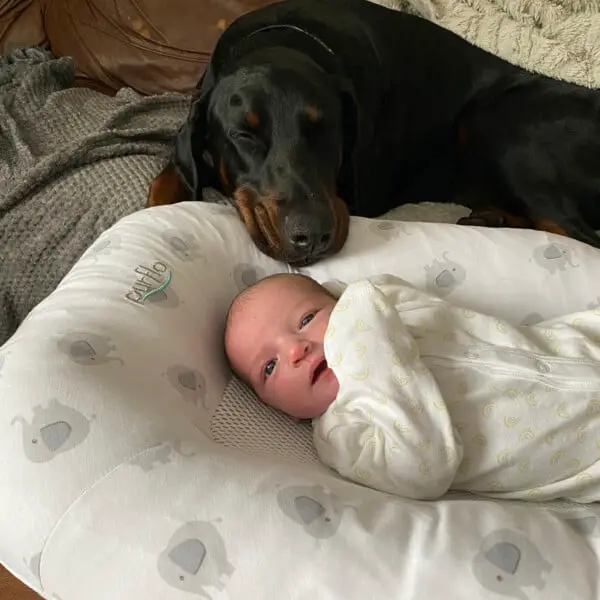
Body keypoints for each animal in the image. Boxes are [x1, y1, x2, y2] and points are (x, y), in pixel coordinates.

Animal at [148, 0, 600, 264]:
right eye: (244, 135)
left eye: (325, 128)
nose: (311, 236)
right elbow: (164, 183)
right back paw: (492, 217)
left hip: (496, 121)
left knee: (580, 237)